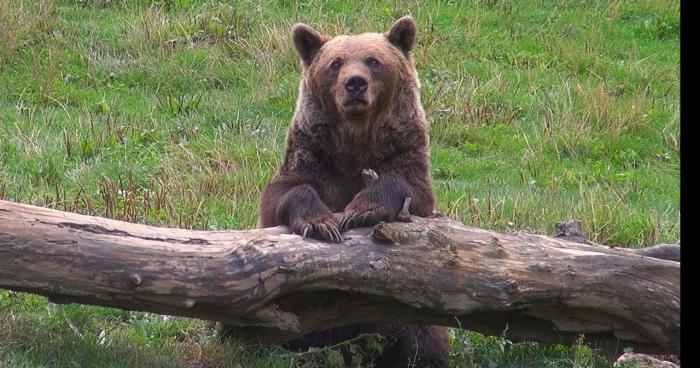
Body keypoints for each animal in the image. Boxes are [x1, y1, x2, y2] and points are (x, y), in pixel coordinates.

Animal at [258, 15, 448, 366]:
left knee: (425, 339)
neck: (356, 141)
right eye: (335, 63)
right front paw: (321, 223)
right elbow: (282, 195)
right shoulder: (313, 158)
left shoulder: (405, 155)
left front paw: (362, 209)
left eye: (373, 60)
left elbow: (411, 193)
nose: (355, 83)